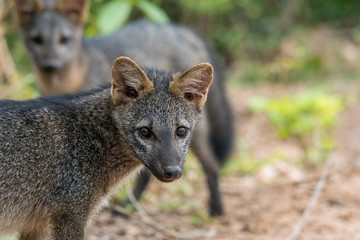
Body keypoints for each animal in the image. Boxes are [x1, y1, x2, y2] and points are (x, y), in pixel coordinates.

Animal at [0, 57, 212, 239]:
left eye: (181, 131)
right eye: (145, 132)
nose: (172, 171)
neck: (92, 138)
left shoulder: (37, 226)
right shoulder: (70, 217)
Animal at [13, 0, 233, 216]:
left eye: (64, 39)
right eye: (37, 40)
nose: (50, 64)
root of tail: (181, 29)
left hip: (198, 141)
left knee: (212, 165)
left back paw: (216, 208)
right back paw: (129, 206)